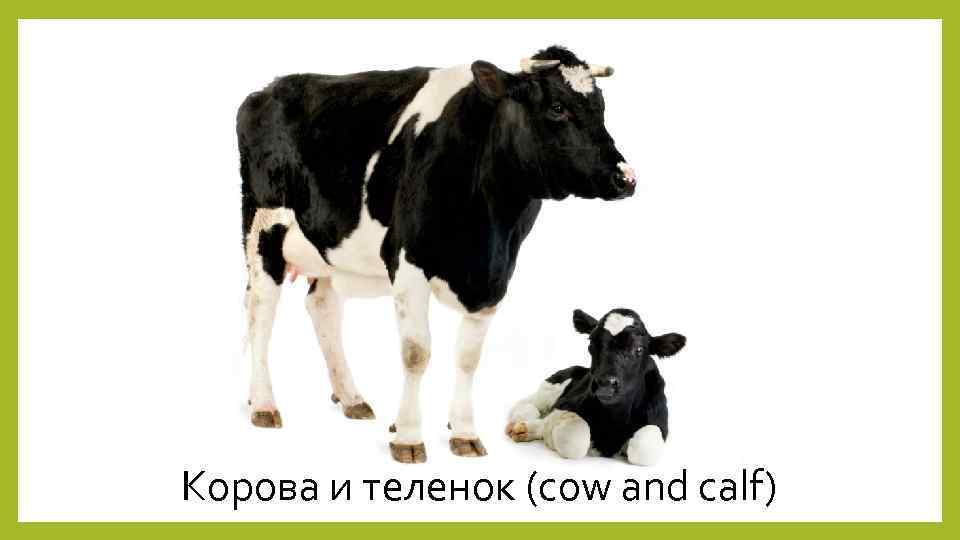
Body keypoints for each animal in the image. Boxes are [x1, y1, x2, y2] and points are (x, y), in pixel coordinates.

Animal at [236, 46, 637, 463]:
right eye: (558, 107)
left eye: (601, 107)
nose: (625, 178)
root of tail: (268, 88)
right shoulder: (408, 262)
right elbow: (416, 352)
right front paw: (409, 436)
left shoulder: (495, 278)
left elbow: (468, 357)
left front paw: (463, 431)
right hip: (263, 228)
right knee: (261, 310)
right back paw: (263, 404)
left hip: (329, 246)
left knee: (322, 307)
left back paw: (351, 398)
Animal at [506, 308, 685, 465]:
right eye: (592, 343)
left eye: (639, 349)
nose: (605, 384)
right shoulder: (565, 405)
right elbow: (574, 439)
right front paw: (543, 430)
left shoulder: (660, 423)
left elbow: (644, 449)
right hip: (553, 385)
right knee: (529, 404)